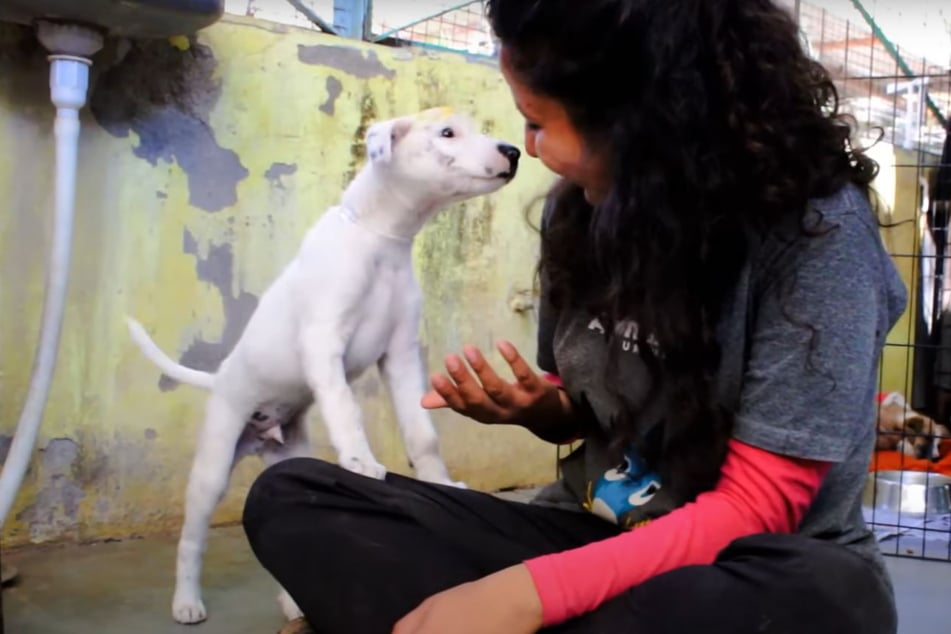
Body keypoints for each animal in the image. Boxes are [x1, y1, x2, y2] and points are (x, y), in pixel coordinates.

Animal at [125, 107, 520, 624]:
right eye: (447, 133)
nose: (513, 151)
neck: (379, 237)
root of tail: (221, 379)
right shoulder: (323, 341)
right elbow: (345, 408)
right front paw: (360, 460)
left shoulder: (400, 352)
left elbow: (422, 435)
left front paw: (440, 482)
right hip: (215, 459)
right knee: (192, 538)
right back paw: (187, 601)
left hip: (289, 452)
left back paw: (293, 603)